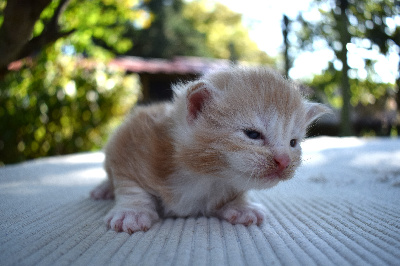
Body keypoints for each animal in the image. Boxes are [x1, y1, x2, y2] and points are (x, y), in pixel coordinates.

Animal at [90, 67, 332, 235]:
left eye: (293, 142)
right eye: (253, 134)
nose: (284, 161)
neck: (205, 175)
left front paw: (242, 207)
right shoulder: (129, 141)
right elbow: (130, 184)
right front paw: (132, 212)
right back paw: (103, 190)